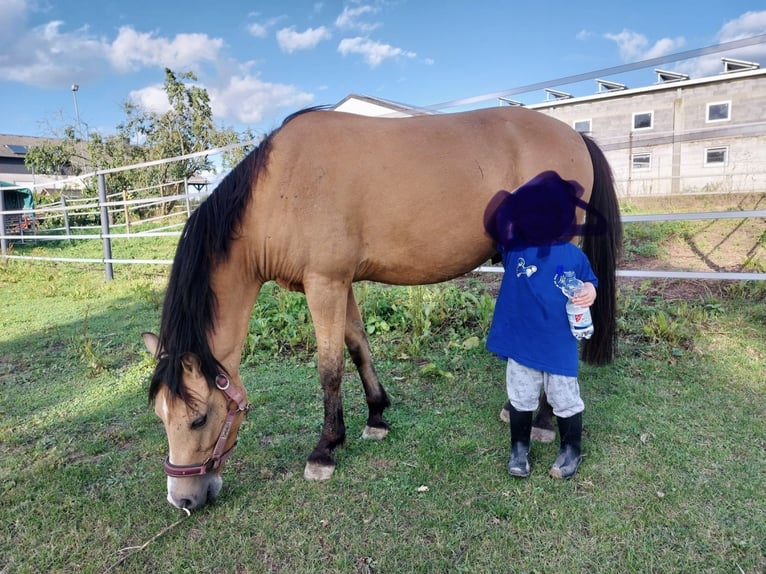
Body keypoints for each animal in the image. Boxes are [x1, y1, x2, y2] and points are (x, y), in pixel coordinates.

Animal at [142, 105, 622, 510]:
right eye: (160, 415)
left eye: (199, 419)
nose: (183, 500)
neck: (283, 186)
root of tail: (574, 135)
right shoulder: (340, 284)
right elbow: (358, 345)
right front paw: (376, 416)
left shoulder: (324, 284)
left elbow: (330, 368)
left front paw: (324, 450)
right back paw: (514, 408)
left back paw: (542, 421)